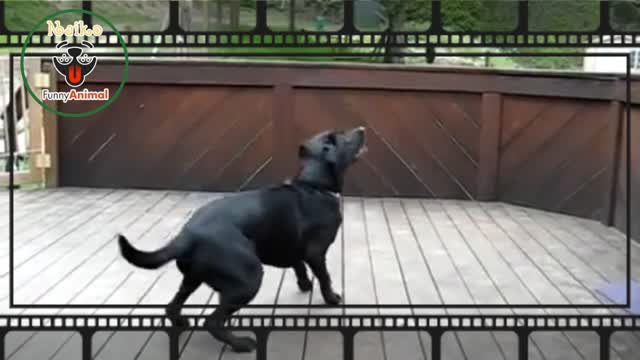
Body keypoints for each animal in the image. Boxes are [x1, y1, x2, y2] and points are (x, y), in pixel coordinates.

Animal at [118, 126, 368, 352]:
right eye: (343, 137)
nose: (362, 128)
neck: (313, 185)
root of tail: (187, 235)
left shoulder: (293, 246)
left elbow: (298, 266)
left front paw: (305, 285)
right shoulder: (316, 253)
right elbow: (325, 277)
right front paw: (332, 298)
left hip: (192, 278)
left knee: (172, 306)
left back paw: (181, 322)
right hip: (248, 279)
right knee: (212, 321)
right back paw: (241, 344)